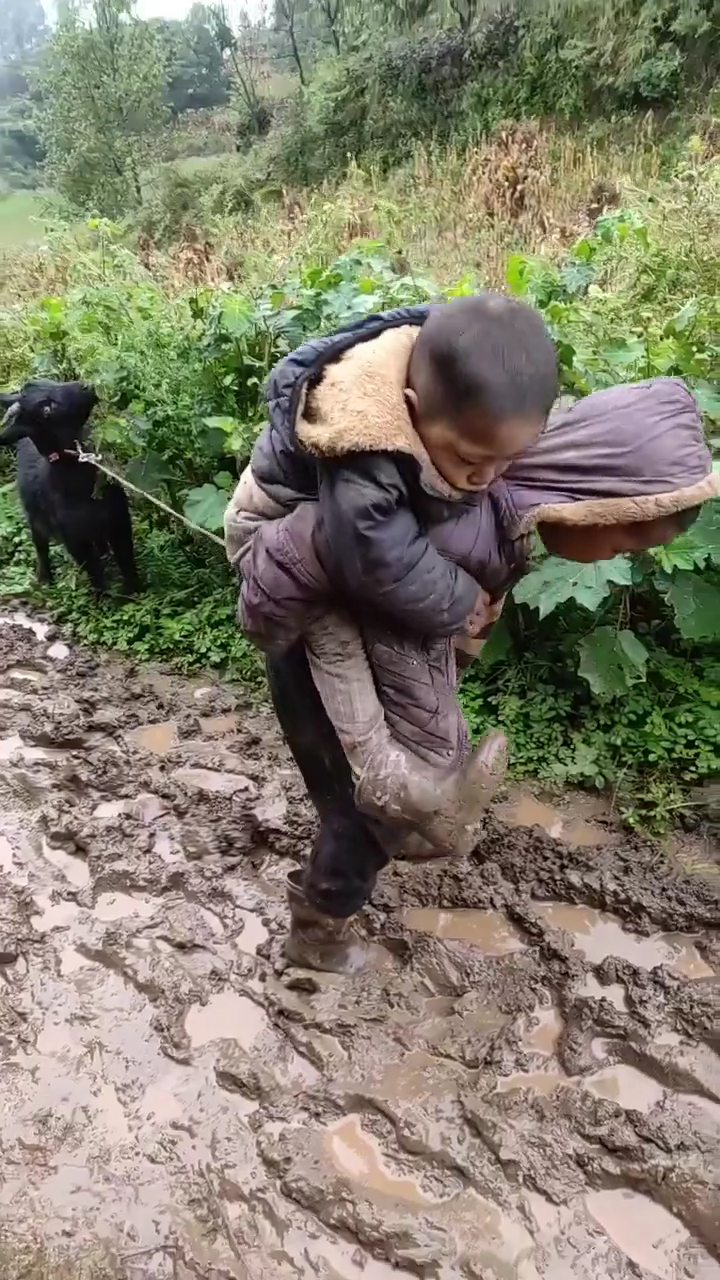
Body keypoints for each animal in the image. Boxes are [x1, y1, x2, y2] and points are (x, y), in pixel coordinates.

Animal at [0, 376, 139, 596]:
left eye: (51, 382)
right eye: (47, 408)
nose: (85, 386)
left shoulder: (119, 518)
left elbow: (126, 557)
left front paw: (134, 592)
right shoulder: (73, 538)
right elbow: (92, 570)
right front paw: (104, 598)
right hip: (35, 516)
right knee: (40, 545)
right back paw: (44, 578)